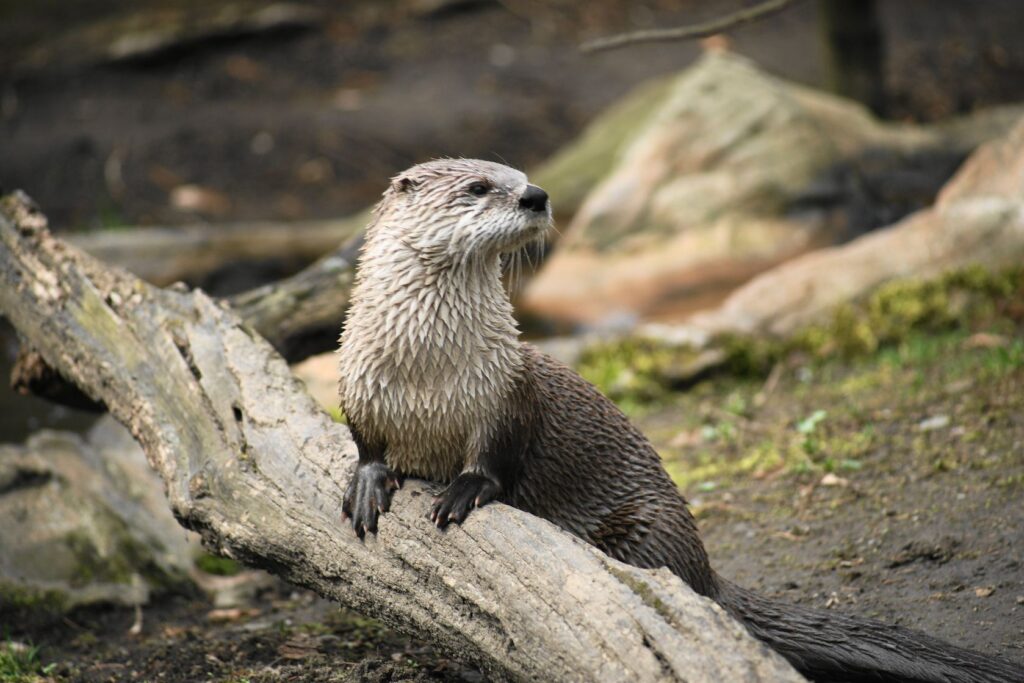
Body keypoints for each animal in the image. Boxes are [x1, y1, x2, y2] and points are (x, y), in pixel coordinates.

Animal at [338, 159, 1022, 682]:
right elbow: (366, 440)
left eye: (522, 176)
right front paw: (368, 481)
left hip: (648, 523)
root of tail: (706, 569)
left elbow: (495, 459)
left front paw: (464, 490)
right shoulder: (358, 380)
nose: (538, 195)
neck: (430, 374)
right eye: (480, 186)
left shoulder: (506, 391)